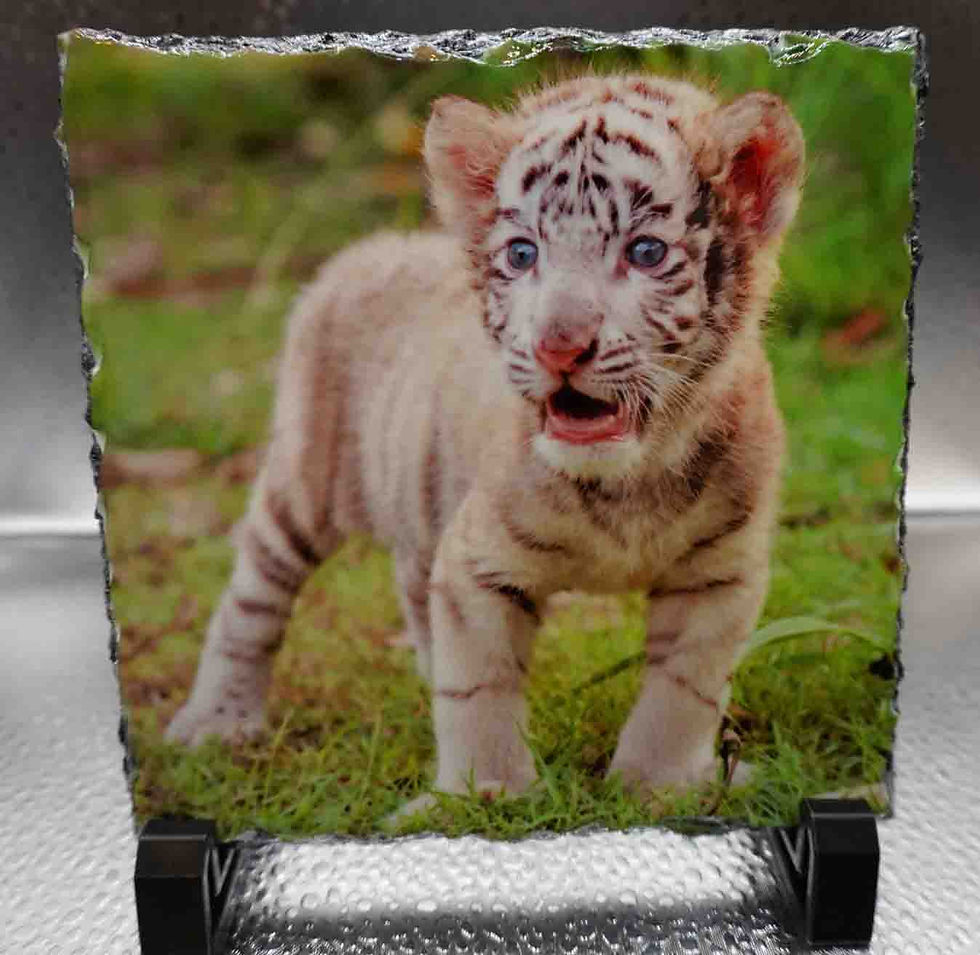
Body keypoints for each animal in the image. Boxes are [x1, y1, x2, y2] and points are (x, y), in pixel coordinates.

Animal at [165, 73, 803, 808]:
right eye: (522, 255)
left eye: (645, 252)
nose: (559, 345)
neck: (629, 479)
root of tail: (363, 251)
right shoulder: (477, 564)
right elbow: (479, 691)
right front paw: (485, 793)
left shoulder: (720, 571)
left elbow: (683, 692)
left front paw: (658, 786)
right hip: (303, 485)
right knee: (252, 596)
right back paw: (216, 721)